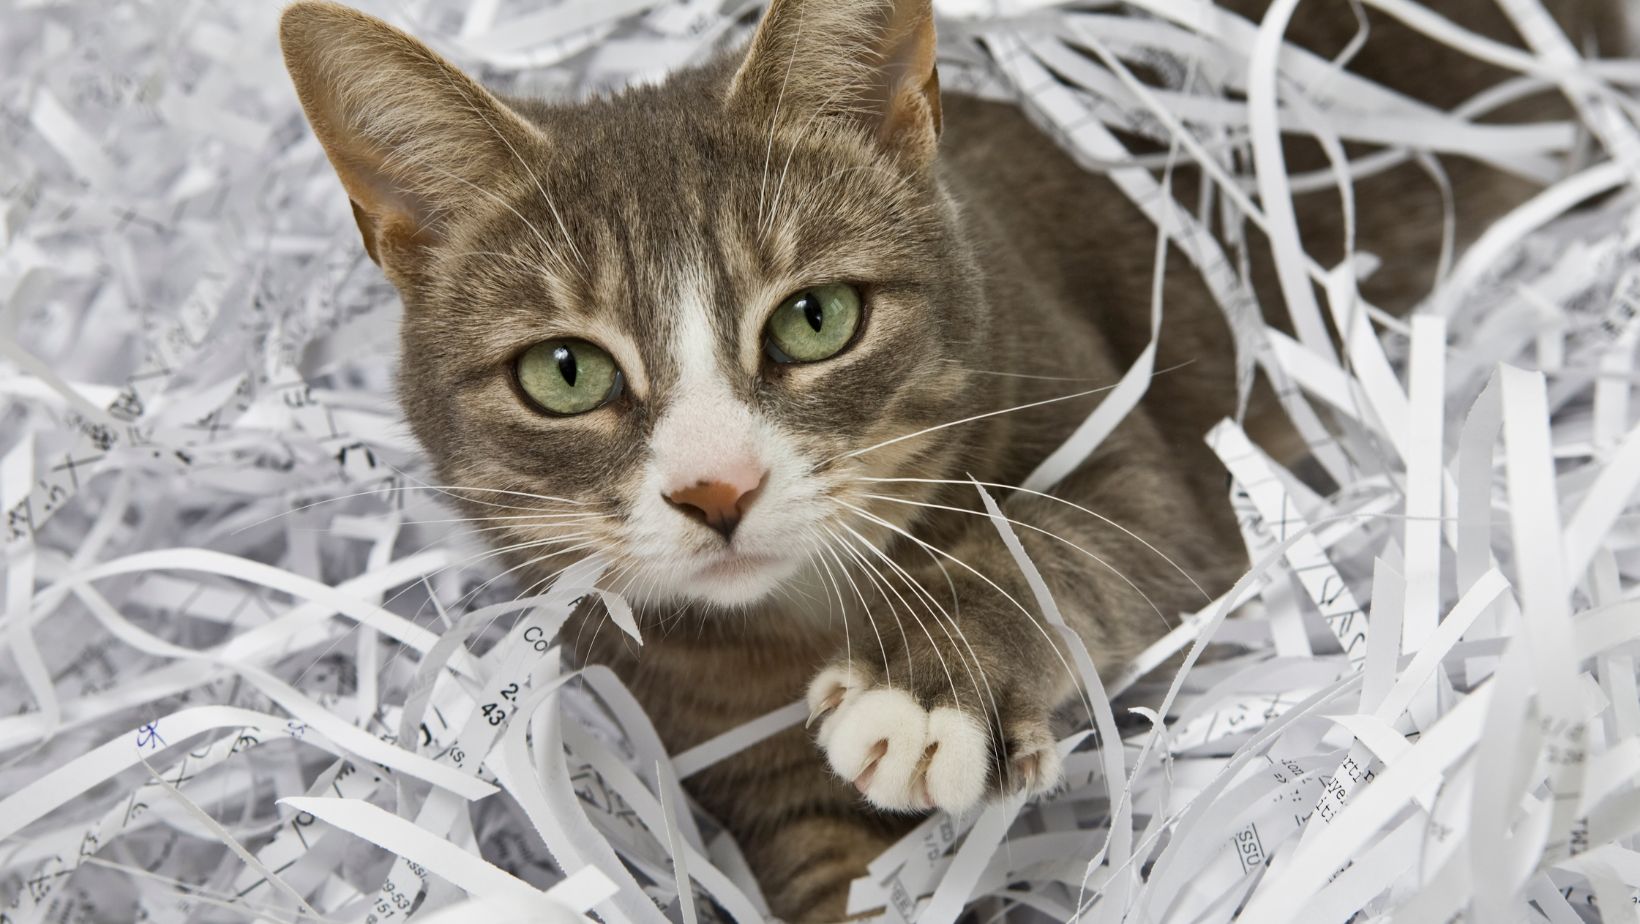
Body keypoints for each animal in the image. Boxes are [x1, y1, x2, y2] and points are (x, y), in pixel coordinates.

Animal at [282, 0, 1626, 919]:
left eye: (814, 318)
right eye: (565, 373)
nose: (716, 490)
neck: (796, 615)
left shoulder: (1146, 464)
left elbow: (1064, 544)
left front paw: (924, 687)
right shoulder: (700, 721)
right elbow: (827, 855)